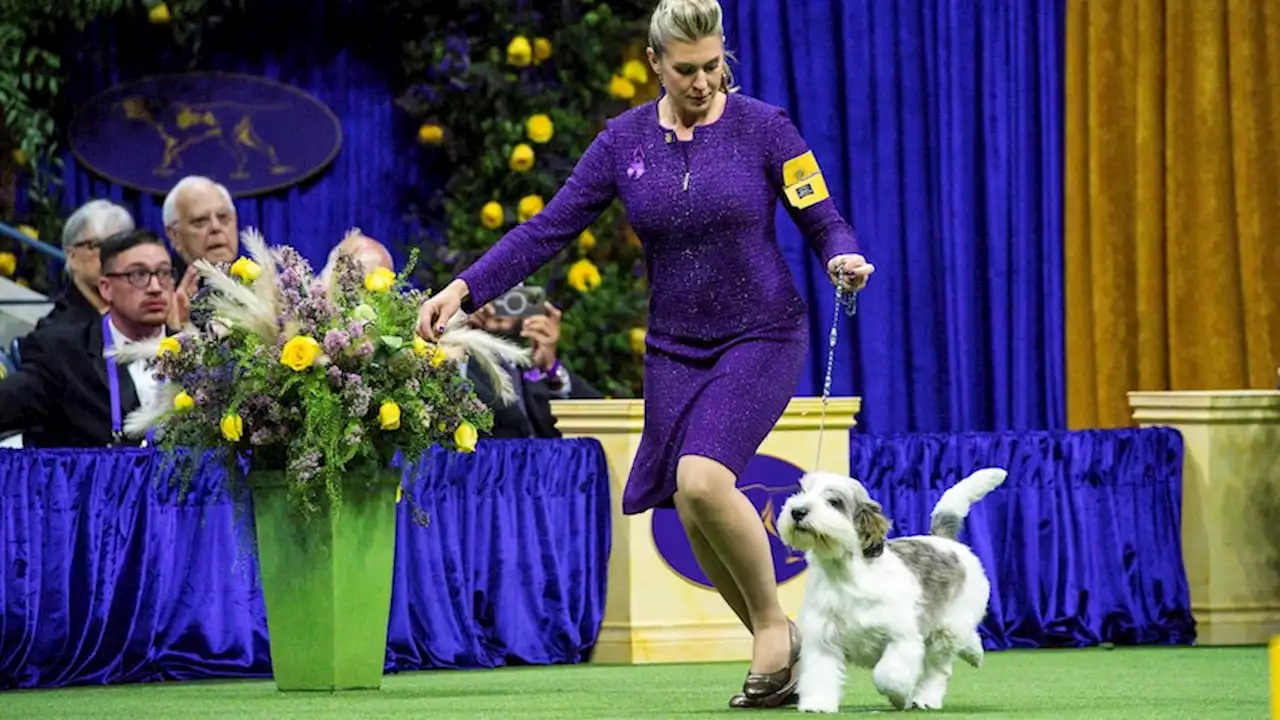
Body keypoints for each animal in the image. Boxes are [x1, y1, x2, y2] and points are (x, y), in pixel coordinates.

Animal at [773, 468, 1003, 707]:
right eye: (802, 491)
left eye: (834, 501)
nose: (797, 511)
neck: (845, 575)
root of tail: (944, 542)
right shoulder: (822, 639)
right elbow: (820, 674)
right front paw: (817, 704)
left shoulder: (901, 639)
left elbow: (888, 676)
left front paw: (899, 697)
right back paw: (974, 654)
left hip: (947, 628)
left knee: (939, 668)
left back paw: (928, 695)